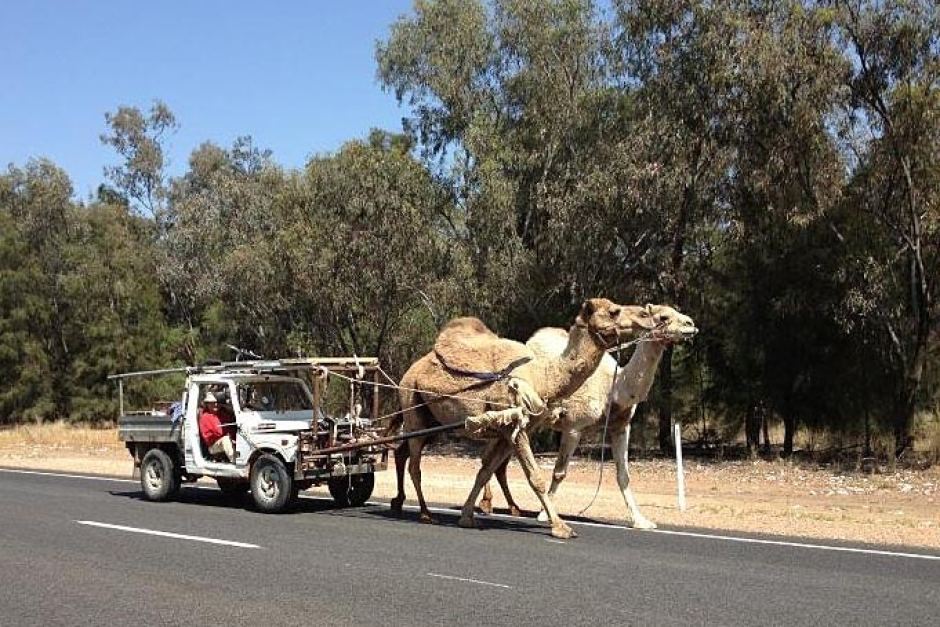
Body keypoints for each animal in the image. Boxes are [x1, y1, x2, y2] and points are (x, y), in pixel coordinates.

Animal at [386, 298, 660, 539]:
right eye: (614, 311)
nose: (646, 315)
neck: (544, 378)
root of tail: (410, 370)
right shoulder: (518, 428)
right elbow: (535, 478)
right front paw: (561, 528)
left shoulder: (508, 431)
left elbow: (485, 471)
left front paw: (467, 516)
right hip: (412, 404)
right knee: (414, 465)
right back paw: (424, 513)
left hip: (432, 422)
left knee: (403, 453)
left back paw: (401, 503)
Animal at [478, 305, 697, 529]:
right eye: (663, 316)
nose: (690, 324)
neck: (614, 389)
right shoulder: (574, 427)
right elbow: (560, 472)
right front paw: (544, 514)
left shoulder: (620, 427)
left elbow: (623, 475)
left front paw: (641, 520)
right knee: (490, 457)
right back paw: (490, 505)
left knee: (495, 459)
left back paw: (508, 507)